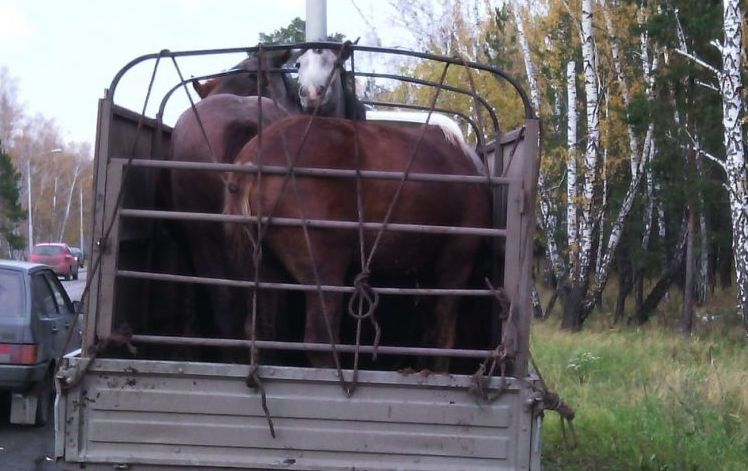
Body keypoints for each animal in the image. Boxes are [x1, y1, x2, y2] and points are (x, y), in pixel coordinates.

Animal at [224, 116, 490, 370]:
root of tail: (251, 161)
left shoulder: (426, 274)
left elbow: (430, 330)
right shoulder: (456, 259)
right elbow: (443, 335)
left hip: (262, 265)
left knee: (261, 332)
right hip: (325, 264)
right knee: (320, 340)